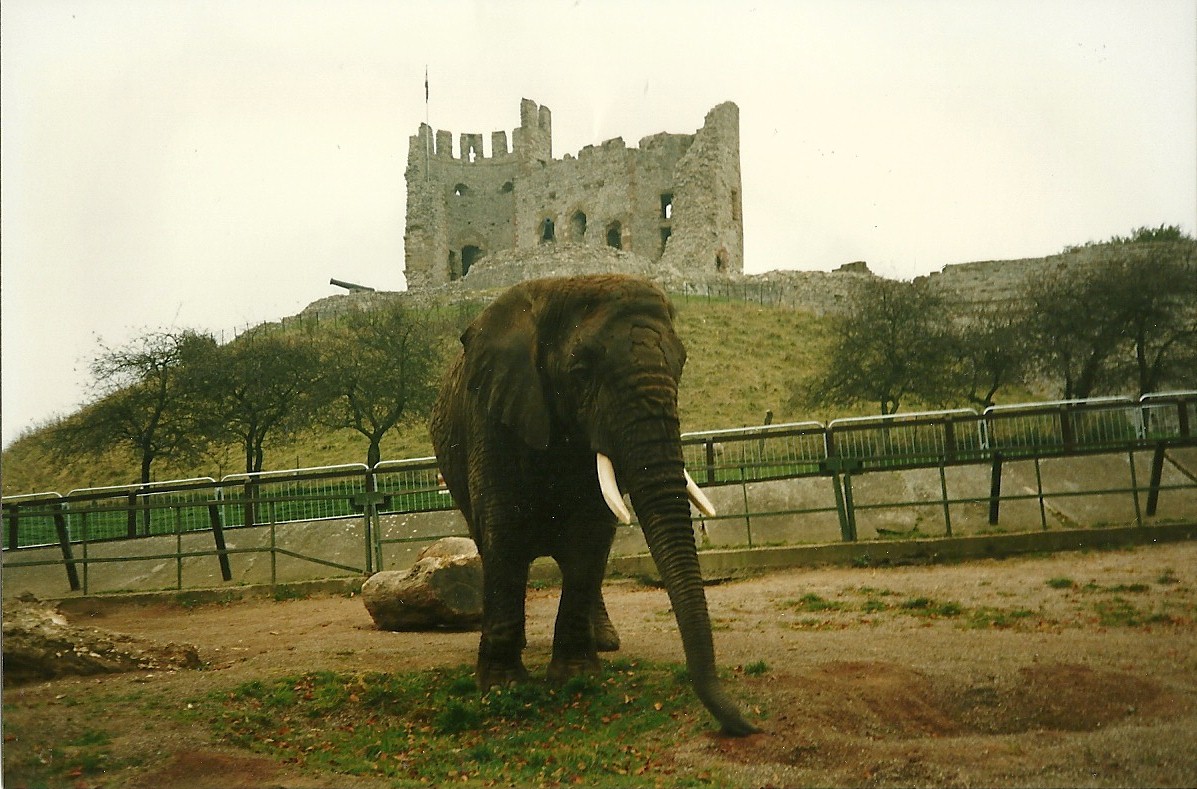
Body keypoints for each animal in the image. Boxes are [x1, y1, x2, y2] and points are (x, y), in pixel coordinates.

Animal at [430, 273, 758, 736]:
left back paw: (604, 641)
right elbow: (505, 534)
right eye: (581, 372)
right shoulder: (492, 419)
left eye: (680, 365)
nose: (744, 725)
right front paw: (503, 686)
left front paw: (576, 676)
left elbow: (591, 536)